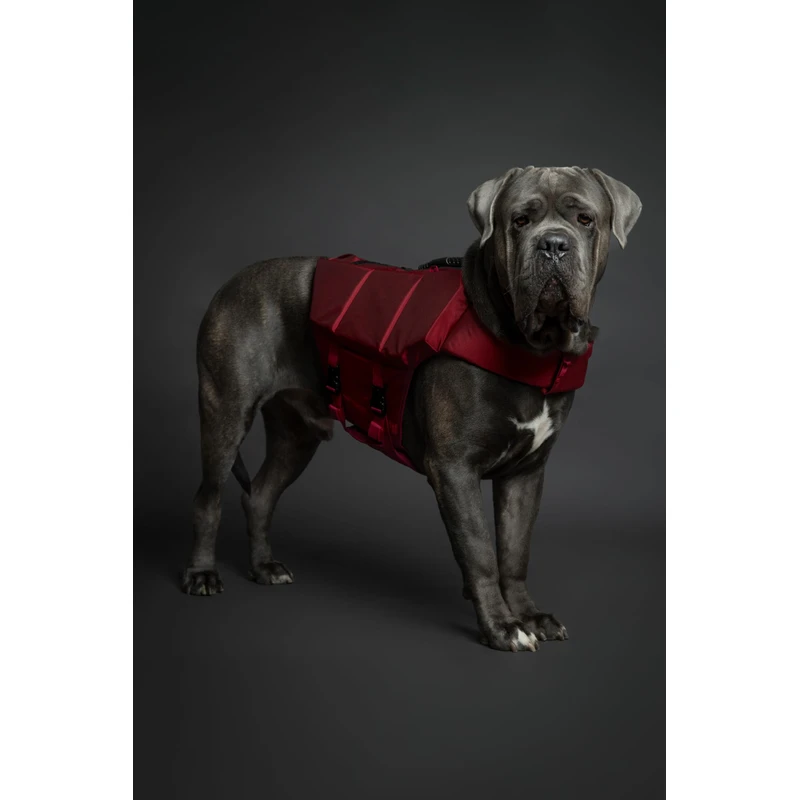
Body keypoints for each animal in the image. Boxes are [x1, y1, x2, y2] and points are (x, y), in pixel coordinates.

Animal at [182, 166, 642, 652]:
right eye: (520, 221)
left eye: (585, 219)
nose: (553, 244)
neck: (531, 346)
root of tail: (231, 283)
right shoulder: (454, 468)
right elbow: (480, 551)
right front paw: (501, 626)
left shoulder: (526, 474)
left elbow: (515, 552)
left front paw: (529, 615)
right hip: (225, 414)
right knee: (208, 498)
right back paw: (202, 574)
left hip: (297, 435)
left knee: (261, 494)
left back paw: (264, 567)